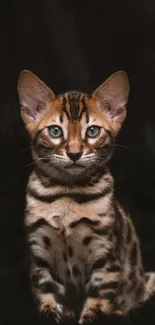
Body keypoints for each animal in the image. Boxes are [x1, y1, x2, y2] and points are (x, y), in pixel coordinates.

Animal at [17, 70, 155, 322]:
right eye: (55, 131)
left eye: (92, 131)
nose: (74, 153)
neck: (67, 194)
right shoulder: (39, 254)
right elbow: (45, 292)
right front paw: (52, 312)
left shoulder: (106, 257)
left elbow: (97, 303)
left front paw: (92, 314)